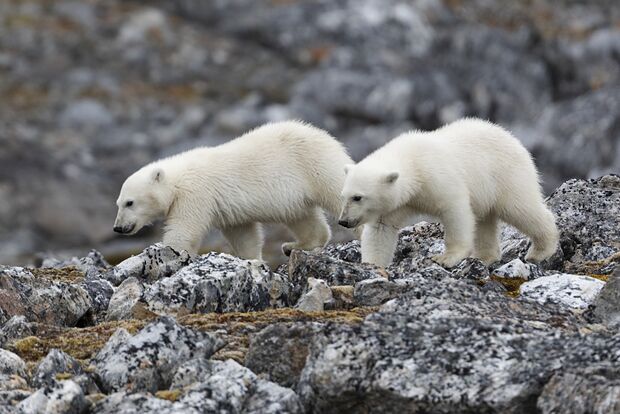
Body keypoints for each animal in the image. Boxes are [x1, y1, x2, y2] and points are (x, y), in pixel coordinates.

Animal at [112, 119, 354, 260]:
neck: (177, 179)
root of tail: (328, 138)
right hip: (297, 194)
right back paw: (294, 245)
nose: (118, 227)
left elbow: (184, 230)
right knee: (303, 217)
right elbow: (244, 236)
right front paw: (253, 261)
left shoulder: (195, 194)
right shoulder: (230, 214)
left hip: (315, 165)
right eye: (118, 203)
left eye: (130, 202)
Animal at [340, 118, 560, 266]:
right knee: (485, 221)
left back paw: (540, 250)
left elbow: (455, 210)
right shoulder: (397, 202)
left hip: (507, 175)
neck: (413, 162)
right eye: (343, 196)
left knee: (521, 208)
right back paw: (484, 256)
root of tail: (514, 139)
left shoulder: (436, 176)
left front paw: (446, 258)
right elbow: (380, 230)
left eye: (358, 197)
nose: (343, 221)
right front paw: (372, 266)